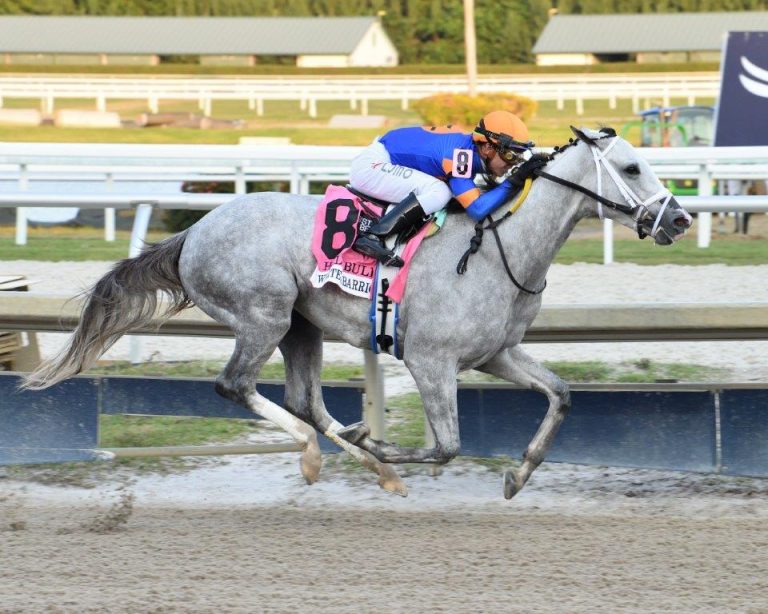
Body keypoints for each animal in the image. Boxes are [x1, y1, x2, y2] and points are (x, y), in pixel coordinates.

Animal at [22, 126, 693, 499]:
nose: (680, 218)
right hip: (263, 316)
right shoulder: (430, 360)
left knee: (305, 400)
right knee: (237, 386)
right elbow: (446, 446)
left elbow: (560, 394)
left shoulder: (495, 354)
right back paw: (324, 454)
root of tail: (193, 232)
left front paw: (519, 474)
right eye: (633, 167)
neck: (500, 249)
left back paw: (364, 458)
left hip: (300, 327)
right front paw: (389, 447)